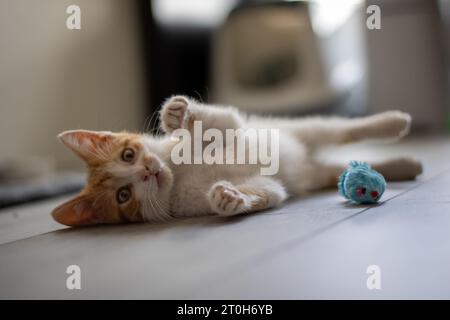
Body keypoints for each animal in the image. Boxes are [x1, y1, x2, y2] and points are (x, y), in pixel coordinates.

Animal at [52, 96, 422, 226]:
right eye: (123, 196)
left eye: (128, 154)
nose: (146, 171)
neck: (180, 173)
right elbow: (269, 191)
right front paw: (230, 198)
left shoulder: (233, 126)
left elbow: (221, 120)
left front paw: (176, 114)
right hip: (316, 173)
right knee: (334, 168)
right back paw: (403, 166)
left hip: (302, 129)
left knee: (342, 130)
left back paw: (394, 122)